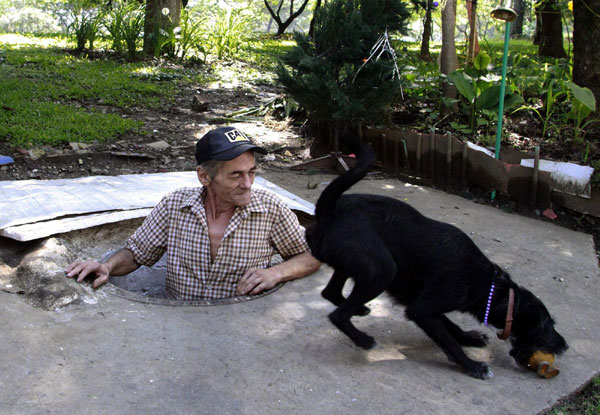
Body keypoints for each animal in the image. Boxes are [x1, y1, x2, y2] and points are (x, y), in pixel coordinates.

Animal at [308, 139, 568, 380]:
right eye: (546, 328)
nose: (565, 345)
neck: (491, 285)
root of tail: (328, 210)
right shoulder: (422, 309)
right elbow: (448, 341)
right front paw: (473, 366)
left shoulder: (423, 301)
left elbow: (450, 326)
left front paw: (468, 338)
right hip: (382, 271)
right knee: (338, 315)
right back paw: (363, 339)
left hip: (355, 266)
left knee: (331, 293)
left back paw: (358, 309)